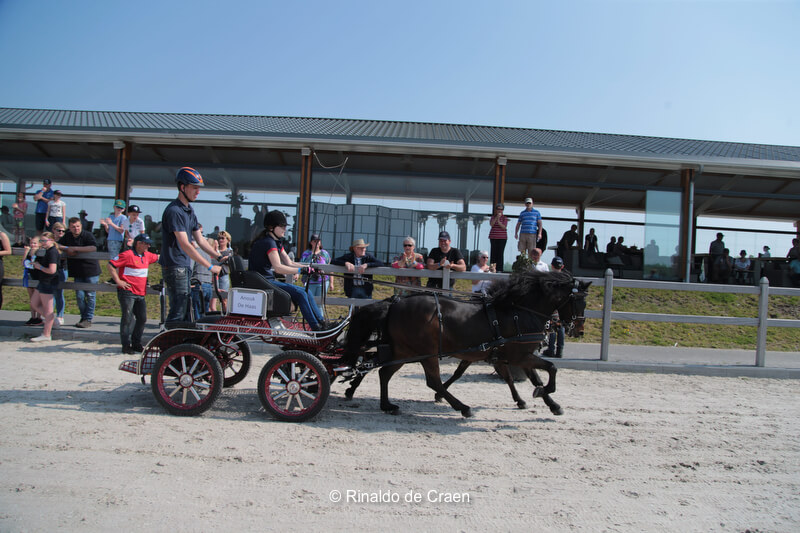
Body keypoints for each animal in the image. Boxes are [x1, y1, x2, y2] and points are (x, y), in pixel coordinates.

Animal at [340, 272, 592, 418]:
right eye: (580, 301)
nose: (577, 329)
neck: (518, 312)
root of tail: (395, 303)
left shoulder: (513, 356)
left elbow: (527, 377)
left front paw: (549, 403)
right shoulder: (520, 356)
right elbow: (550, 369)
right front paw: (543, 393)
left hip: (404, 351)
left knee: (383, 372)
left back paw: (385, 404)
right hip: (426, 354)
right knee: (431, 381)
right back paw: (463, 407)